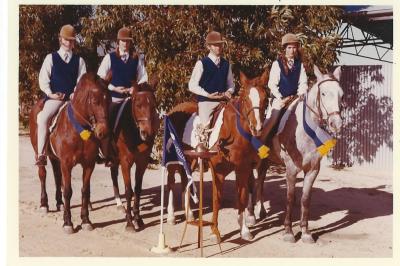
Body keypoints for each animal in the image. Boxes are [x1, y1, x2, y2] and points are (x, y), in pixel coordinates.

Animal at [29, 72, 112, 233]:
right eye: (95, 100)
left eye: (110, 99)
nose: (103, 132)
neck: (79, 129)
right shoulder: (67, 164)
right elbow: (68, 191)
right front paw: (68, 222)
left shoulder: (88, 164)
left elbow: (85, 190)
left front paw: (85, 220)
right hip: (39, 153)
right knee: (43, 174)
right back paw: (44, 204)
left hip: (55, 158)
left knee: (56, 176)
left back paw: (59, 203)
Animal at [108, 77, 161, 231]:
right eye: (138, 105)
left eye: (154, 105)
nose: (147, 133)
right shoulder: (125, 162)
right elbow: (129, 191)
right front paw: (130, 223)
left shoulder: (142, 162)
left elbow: (137, 189)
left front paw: (138, 218)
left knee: (113, 175)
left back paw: (119, 204)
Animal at [166, 69, 268, 242]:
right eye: (246, 99)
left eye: (265, 98)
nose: (257, 128)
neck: (233, 132)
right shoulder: (218, 172)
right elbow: (217, 200)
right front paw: (215, 232)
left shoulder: (243, 169)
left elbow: (242, 197)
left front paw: (244, 230)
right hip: (175, 161)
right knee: (171, 182)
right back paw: (171, 216)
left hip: (191, 161)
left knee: (185, 181)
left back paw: (190, 215)